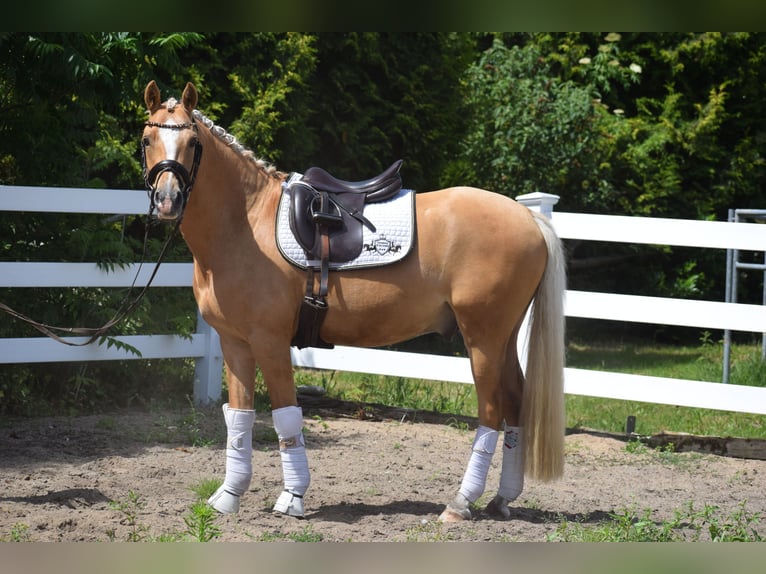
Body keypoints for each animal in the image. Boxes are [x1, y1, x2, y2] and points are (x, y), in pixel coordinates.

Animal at [140, 80, 566, 522]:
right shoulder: (234, 343)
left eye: (192, 142)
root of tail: (527, 218)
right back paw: (501, 499)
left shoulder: (270, 342)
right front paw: (228, 496)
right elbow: (239, 418)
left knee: (491, 412)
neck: (247, 224)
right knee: (516, 402)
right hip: (503, 337)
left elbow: (286, 417)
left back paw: (460, 503)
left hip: (482, 339)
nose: (168, 200)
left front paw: (292, 497)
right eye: (147, 139)